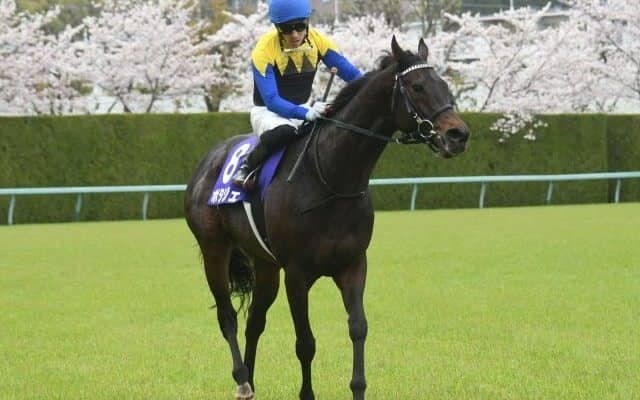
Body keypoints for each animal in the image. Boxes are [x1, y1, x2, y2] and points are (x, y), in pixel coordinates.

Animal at [184, 36, 470, 400]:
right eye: (417, 86)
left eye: (444, 84)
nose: (458, 135)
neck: (331, 177)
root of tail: (208, 161)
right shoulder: (296, 274)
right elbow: (305, 343)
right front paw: (307, 393)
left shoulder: (353, 265)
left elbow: (359, 329)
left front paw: (358, 388)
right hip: (215, 251)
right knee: (227, 317)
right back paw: (242, 380)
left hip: (265, 264)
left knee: (255, 322)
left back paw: (251, 379)